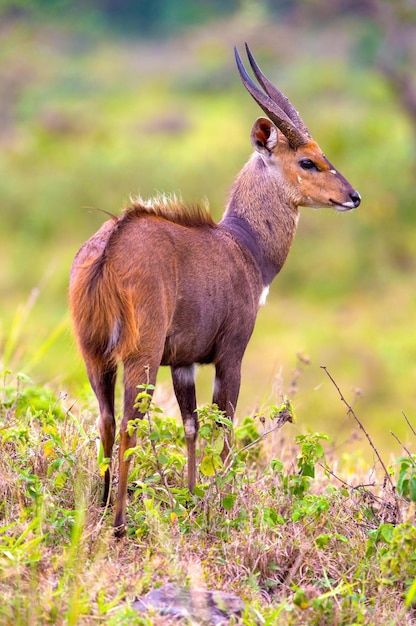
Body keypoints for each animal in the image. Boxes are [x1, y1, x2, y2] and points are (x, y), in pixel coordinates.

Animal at [70, 44, 360, 532]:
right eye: (308, 160)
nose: (353, 196)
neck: (243, 246)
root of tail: (111, 243)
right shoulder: (231, 354)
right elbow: (224, 425)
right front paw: (221, 502)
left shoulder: (183, 363)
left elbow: (191, 425)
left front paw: (190, 498)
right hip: (140, 356)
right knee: (129, 423)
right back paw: (120, 522)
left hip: (97, 357)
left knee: (107, 419)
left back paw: (103, 504)